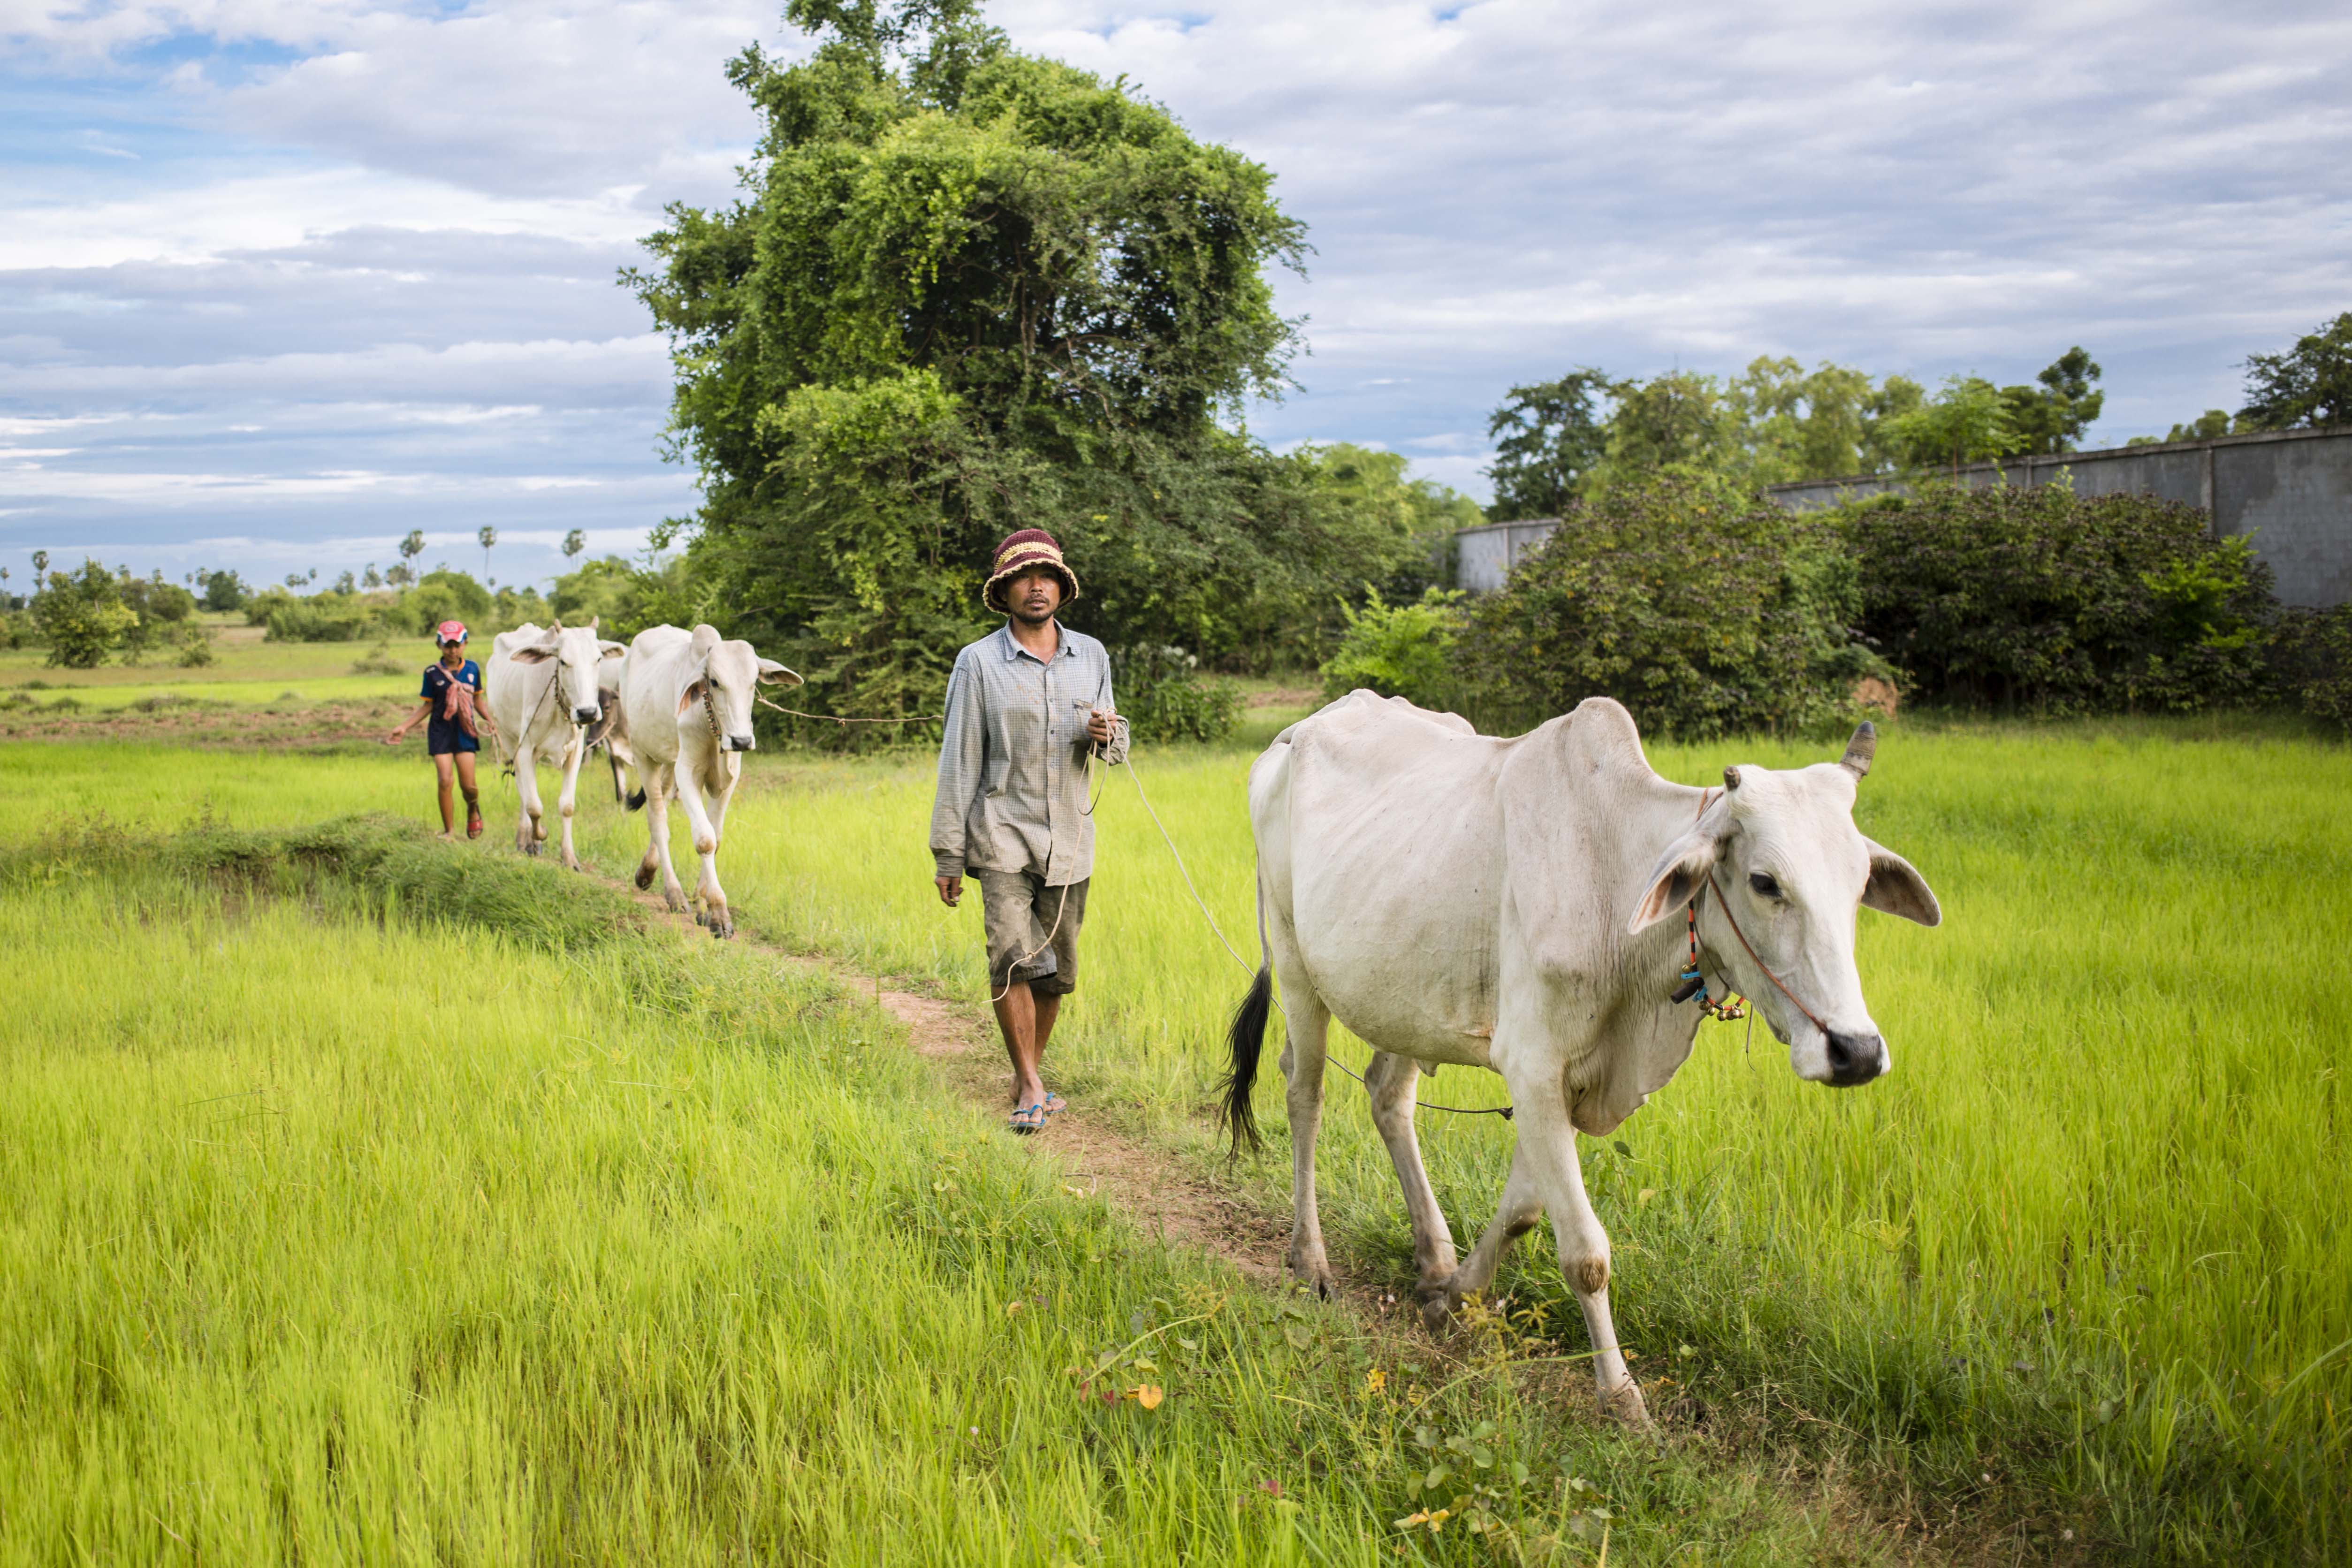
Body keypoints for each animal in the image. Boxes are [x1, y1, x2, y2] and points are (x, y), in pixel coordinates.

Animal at [485, 619, 627, 869]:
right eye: (563, 661)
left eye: (599, 659)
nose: (588, 712)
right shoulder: (525, 750)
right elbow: (534, 806)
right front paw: (539, 835)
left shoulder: (576, 752)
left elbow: (567, 806)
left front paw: (569, 857)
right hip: (508, 739)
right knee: (523, 792)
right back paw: (525, 840)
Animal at [618, 623, 801, 937]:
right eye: (714, 682)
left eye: (754, 681)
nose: (742, 740)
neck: (712, 725)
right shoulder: (687, 771)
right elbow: (705, 840)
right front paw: (718, 912)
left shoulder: (729, 778)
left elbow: (716, 837)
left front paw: (703, 904)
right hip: (644, 755)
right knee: (657, 819)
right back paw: (674, 893)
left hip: (669, 762)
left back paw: (647, 872)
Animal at [1219, 692, 1941, 1427]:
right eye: (1765, 882)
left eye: (1859, 884)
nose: (1856, 1050)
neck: (1612, 879)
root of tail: (1299, 730)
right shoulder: (1533, 1063)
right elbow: (1585, 1253)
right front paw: (1621, 1397)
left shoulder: (1569, 1082)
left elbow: (1523, 1210)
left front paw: (1452, 1295)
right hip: (1295, 963)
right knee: (1305, 1095)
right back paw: (1310, 1260)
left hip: (1402, 996)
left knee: (1387, 1097)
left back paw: (1433, 1256)